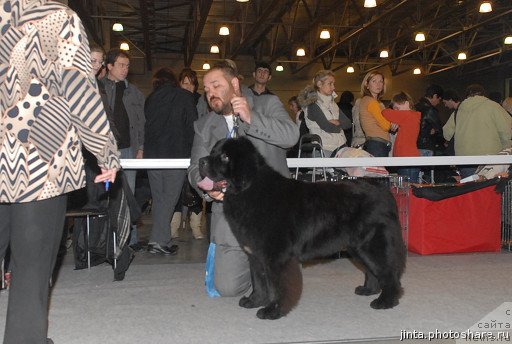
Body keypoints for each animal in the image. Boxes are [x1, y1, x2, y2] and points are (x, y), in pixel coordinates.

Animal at [198, 137, 406, 320]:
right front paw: (254, 301)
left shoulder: (277, 256)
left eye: (225, 157)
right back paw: (368, 290)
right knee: (371, 270)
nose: (201, 161)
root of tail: (384, 191)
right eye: (213, 151)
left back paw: (386, 301)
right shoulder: (255, 254)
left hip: (371, 244)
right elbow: (258, 281)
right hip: (356, 247)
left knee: (388, 272)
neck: (249, 190)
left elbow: (278, 286)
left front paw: (273, 311)